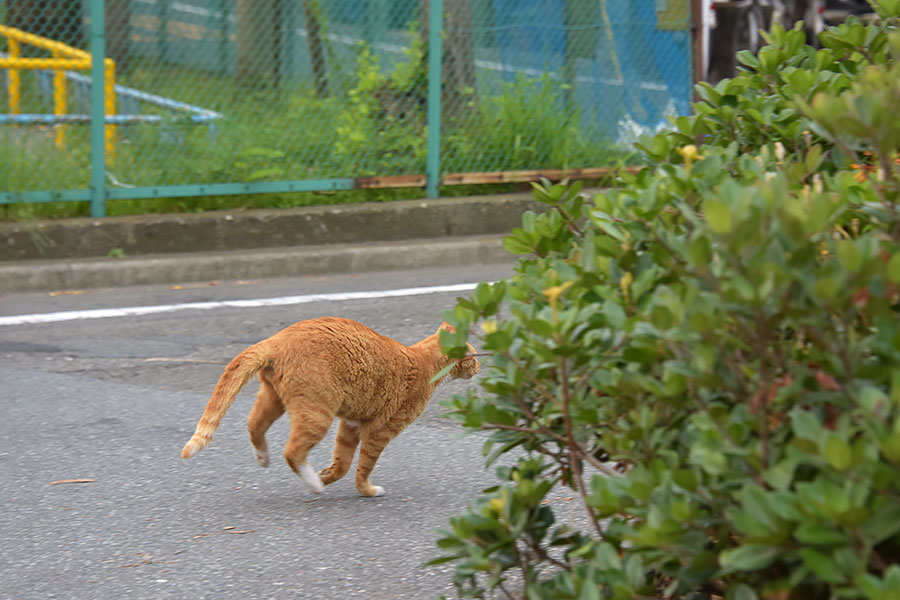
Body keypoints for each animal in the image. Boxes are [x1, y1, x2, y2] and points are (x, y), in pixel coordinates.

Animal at [181, 318, 478, 496]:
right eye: (474, 356)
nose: (478, 367)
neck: (424, 361)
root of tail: (278, 339)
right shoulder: (379, 431)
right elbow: (364, 466)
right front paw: (365, 490)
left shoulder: (351, 424)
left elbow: (343, 463)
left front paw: (327, 475)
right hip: (316, 414)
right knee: (291, 451)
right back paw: (312, 484)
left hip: (274, 399)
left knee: (254, 424)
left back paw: (264, 458)